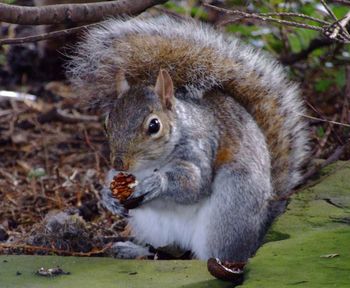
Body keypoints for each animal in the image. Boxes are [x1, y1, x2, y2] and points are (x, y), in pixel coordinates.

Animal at [67, 15, 308, 276]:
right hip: (152, 227)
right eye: (107, 123)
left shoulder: (199, 148)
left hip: (229, 210)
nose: (120, 163)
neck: (151, 163)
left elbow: (194, 184)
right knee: (166, 250)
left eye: (154, 126)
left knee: (209, 254)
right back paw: (133, 250)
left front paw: (157, 182)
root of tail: (261, 231)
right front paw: (107, 196)